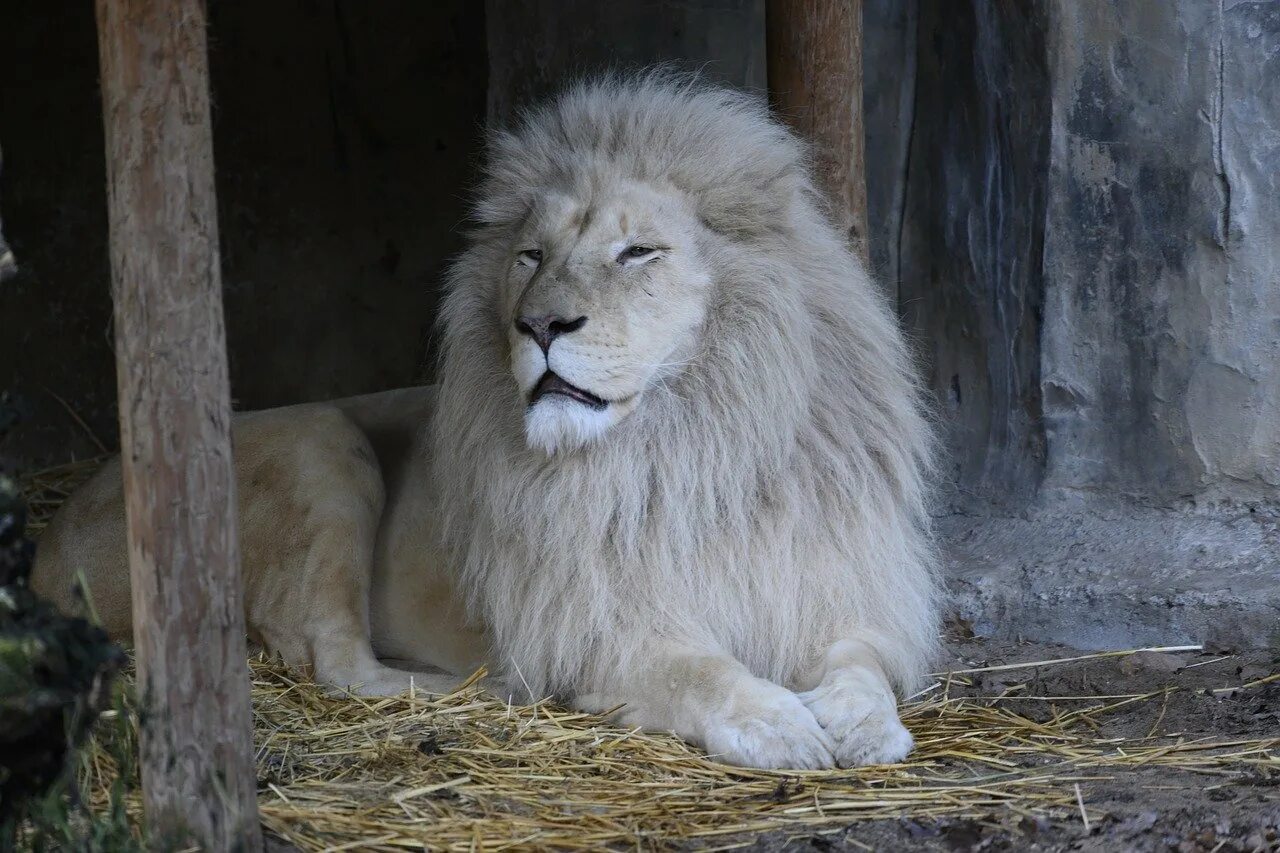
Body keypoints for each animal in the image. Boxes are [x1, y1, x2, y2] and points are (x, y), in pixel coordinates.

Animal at [35, 71, 942, 763]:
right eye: (531, 256)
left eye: (637, 253)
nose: (539, 324)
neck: (689, 443)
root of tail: (53, 533)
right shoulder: (594, 628)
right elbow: (698, 672)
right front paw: (776, 721)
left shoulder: (834, 586)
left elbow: (864, 665)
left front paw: (863, 725)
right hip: (322, 441)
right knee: (335, 658)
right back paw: (485, 688)